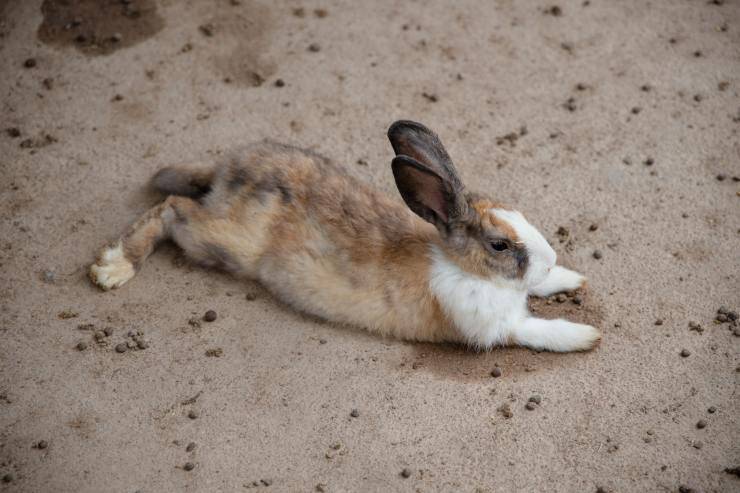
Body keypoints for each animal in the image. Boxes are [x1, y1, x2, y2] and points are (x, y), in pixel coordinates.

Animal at [89, 120, 600, 352]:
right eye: (498, 245)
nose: (549, 257)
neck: (463, 266)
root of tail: (229, 171)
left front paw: (570, 279)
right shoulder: (494, 327)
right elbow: (536, 329)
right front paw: (586, 335)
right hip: (219, 240)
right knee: (172, 210)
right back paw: (113, 267)